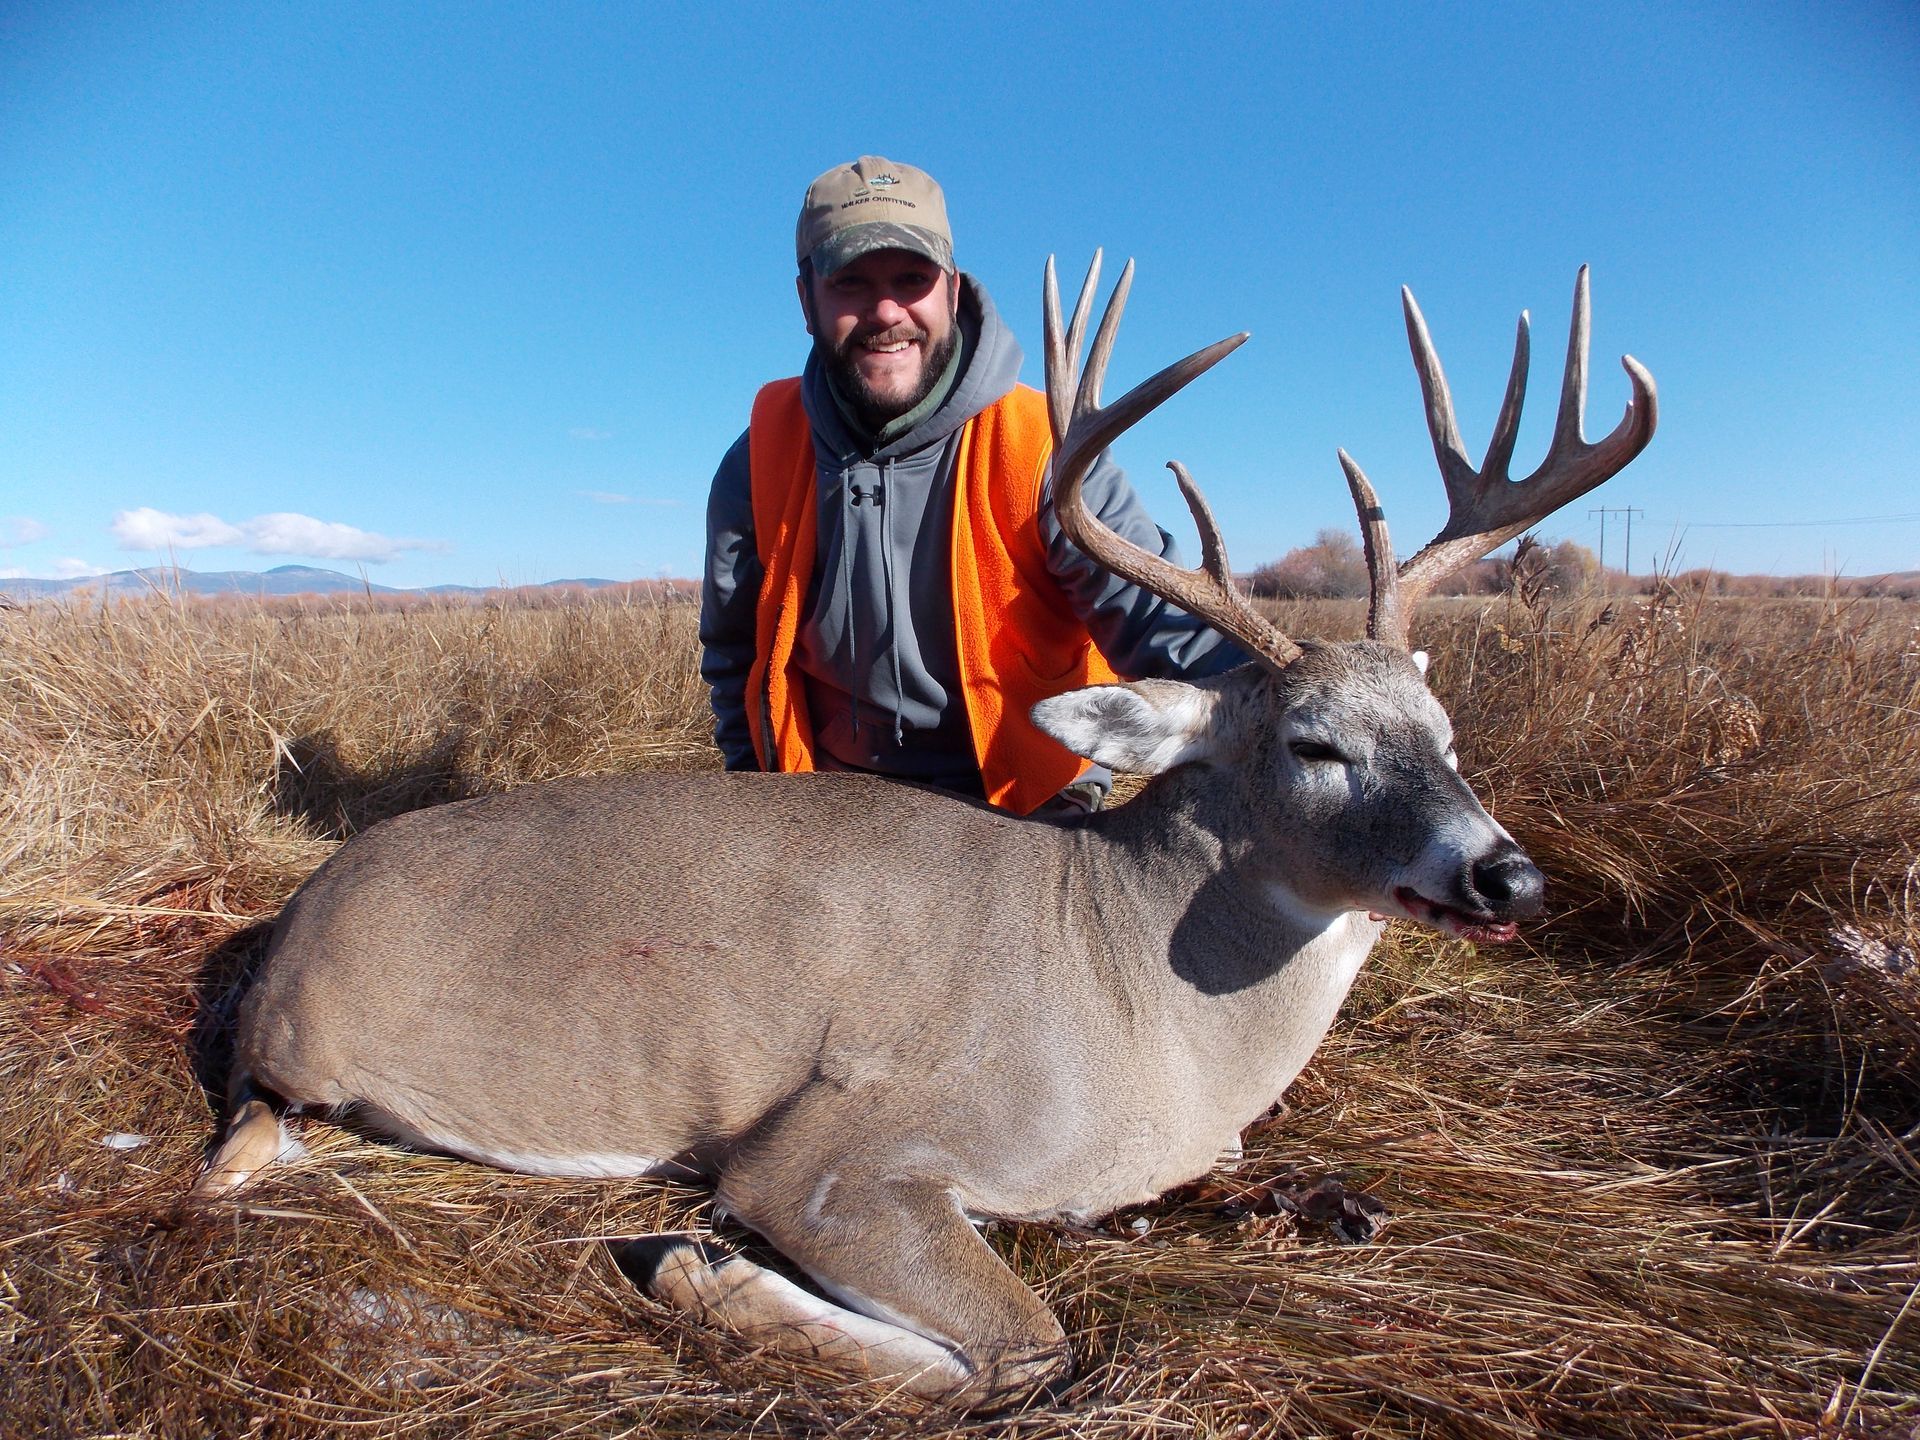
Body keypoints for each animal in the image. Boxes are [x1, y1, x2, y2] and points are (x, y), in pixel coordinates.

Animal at [190, 253, 1656, 1409]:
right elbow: (1024, 1348)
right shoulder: (833, 1148)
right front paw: (696, 1270)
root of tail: (285, 929)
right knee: (238, 1151)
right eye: (1313, 745)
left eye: (1446, 731)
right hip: (316, 1076)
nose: (1506, 874)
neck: (1141, 1004)